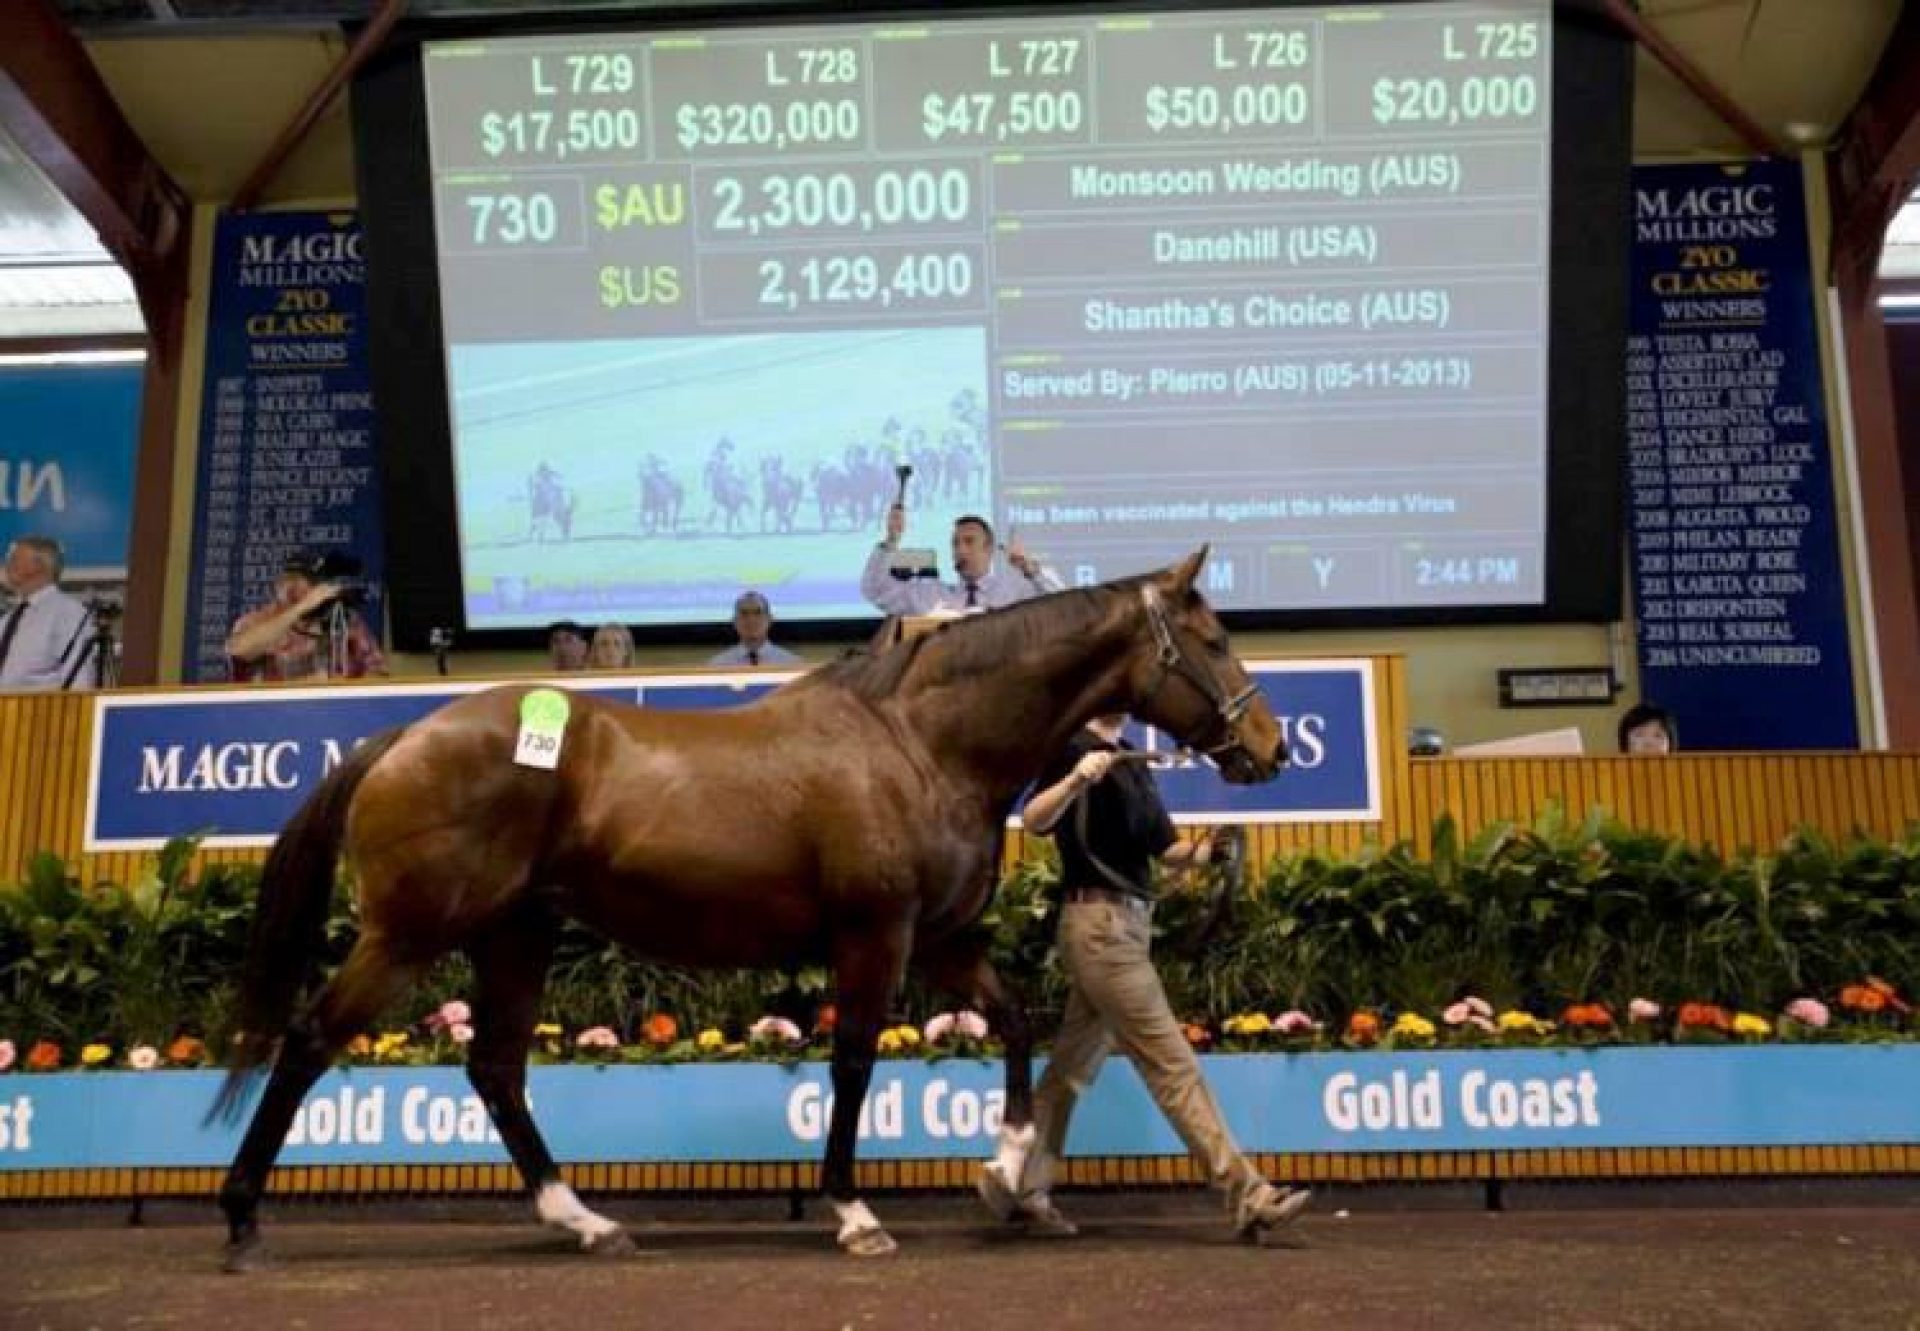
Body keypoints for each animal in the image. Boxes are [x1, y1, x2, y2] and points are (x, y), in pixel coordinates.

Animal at [210, 548, 1284, 1270]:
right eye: (1214, 638)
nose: (1269, 745)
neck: (920, 741)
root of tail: (401, 735)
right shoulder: (875, 935)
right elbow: (853, 1064)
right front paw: (854, 1212)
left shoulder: (935, 935)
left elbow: (1015, 1020)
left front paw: (1009, 1167)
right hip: (410, 934)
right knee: (308, 1042)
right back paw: (243, 1218)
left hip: (518, 932)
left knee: (496, 1069)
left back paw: (585, 1219)